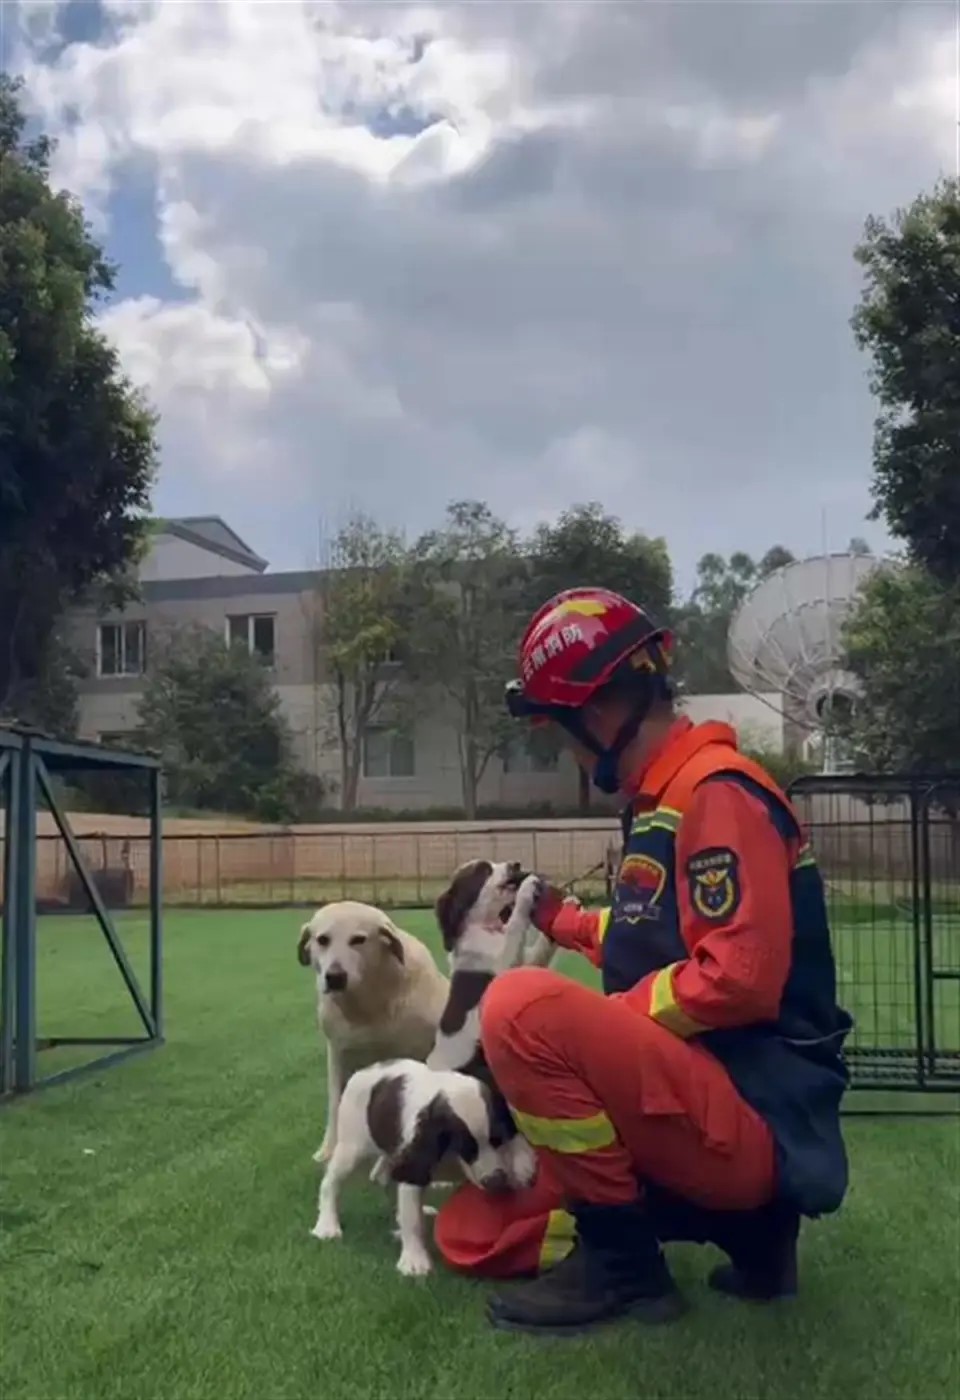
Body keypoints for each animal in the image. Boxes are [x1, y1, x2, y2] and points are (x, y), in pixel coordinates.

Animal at [296, 901, 450, 1164]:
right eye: (322, 940)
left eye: (358, 940)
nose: (335, 977)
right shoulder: (339, 1054)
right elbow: (335, 1102)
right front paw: (328, 1149)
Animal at [316, 1052, 542, 1276]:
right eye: (466, 1148)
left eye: (497, 1139)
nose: (495, 1181)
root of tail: (363, 1071)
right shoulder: (416, 1159)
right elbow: (413, 1218)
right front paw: (414, 1260)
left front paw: (523, 1163)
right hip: (352, 1146)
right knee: (331, 1183)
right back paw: (327, 1225)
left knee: (382, 1177)